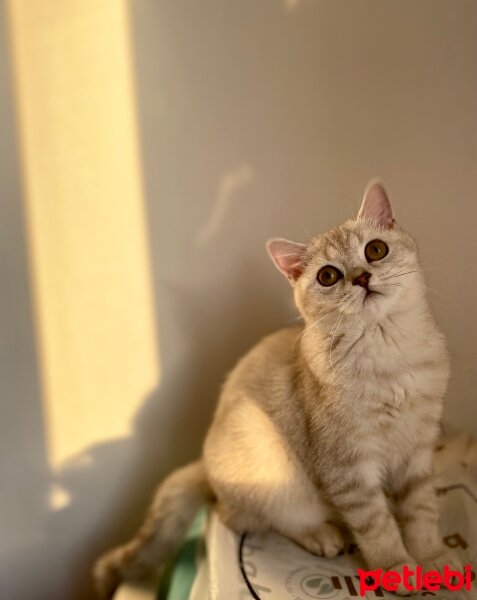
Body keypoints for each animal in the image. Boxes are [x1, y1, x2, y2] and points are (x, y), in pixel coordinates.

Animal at [94, 180, 458, 596]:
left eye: (375, 250)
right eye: (328, 276)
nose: (362, 277)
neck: (389, 356)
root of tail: (205, 466)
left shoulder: (418, 450)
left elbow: (422, 511)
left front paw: (432, 557)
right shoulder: (350, 468)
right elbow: (377, 526)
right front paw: (397, 568)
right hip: (272, 467)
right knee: (242, 517)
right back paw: (320, 534)